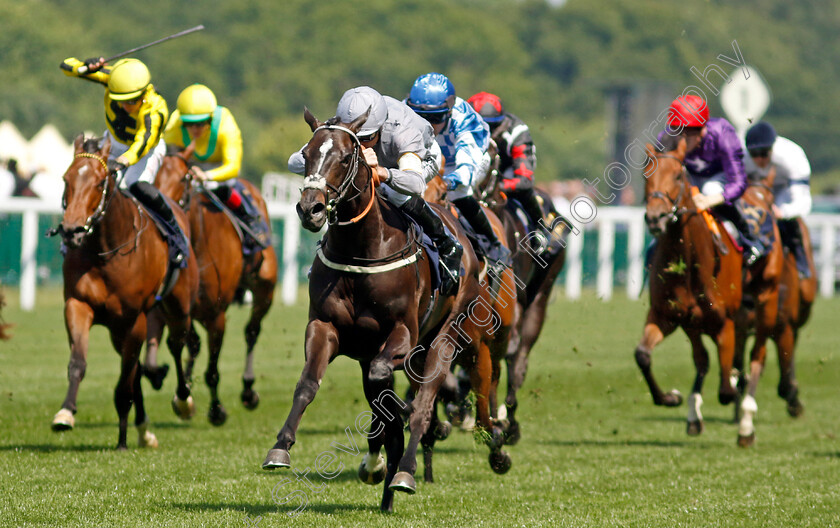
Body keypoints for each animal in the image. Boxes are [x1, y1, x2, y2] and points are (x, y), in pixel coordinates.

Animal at [49, 135, 199, 446]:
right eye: (66, 179)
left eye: (99, 182)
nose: (72, 230)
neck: (107, 250)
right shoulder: (78, 304)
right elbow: (78, 362)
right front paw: (66, 413)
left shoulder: (135, 319)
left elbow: (125, 381)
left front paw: (121, 440)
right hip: (119, 330)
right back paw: (142, 428)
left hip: (178, 307)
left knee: (176, 344)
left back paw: (183, 401)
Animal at [153, 147, 278, 424]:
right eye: (154, 175)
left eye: (184, 178)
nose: (160, 206)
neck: (198, 244)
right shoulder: (178, 310)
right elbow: (187, 344)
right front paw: (184, 396)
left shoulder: (216, 315)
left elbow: (212, 370)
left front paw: (217, 409)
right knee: (196, 344)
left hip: (265, 290)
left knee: (252, 332)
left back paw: (248, 390)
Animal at [262, 110, 508, 512]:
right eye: (307, 153)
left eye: (346, 157)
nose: (310, 209)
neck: (361, 249)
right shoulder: (326, 327)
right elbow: (308, 384)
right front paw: (280, 448)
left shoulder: (402, 335)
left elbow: (392, 391)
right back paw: (387, 481)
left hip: (445, 337)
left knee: (425, 405)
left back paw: (407, 471)